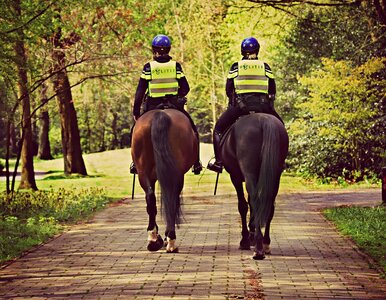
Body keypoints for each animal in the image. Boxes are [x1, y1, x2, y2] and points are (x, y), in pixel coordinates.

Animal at [132, 108, 199, 253]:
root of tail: (160, 114)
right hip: (176, 175)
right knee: (171, 200)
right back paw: (170, 241)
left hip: (143, 173)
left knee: (150, 198)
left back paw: (153, 239)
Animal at [219, 113, 288, 258]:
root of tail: (264, 120)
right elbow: (250, 204)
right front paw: (251, 234)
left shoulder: (235, 176)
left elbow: (243, 206)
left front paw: (245, 240)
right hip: (275, 175)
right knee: (269, 203)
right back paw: (265, 243)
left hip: (249, 172)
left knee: (256, 201)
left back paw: (258, 248)